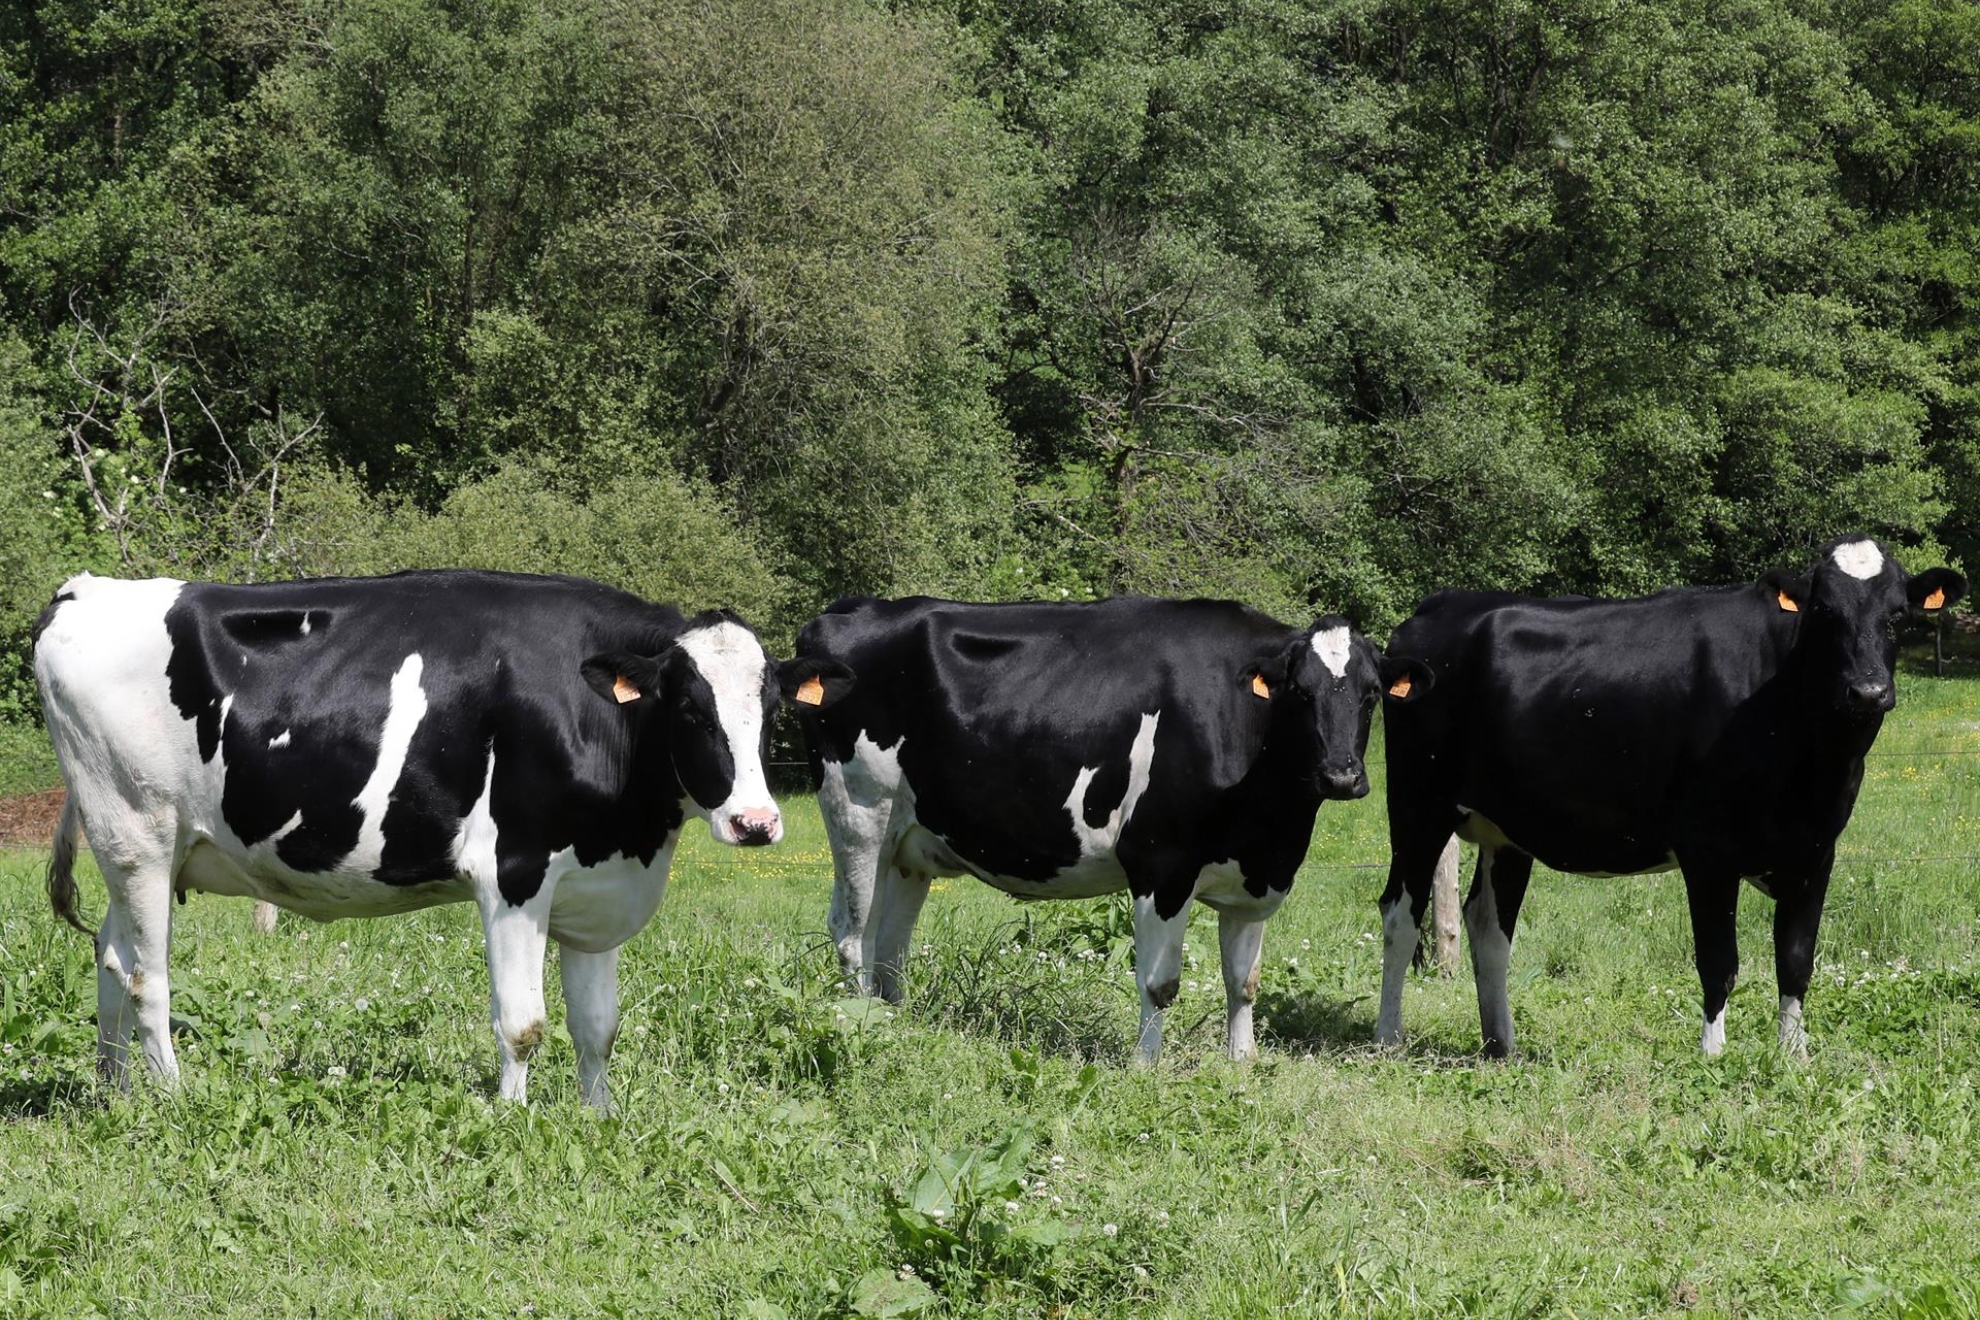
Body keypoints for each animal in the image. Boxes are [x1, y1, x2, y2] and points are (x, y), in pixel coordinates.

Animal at [32, 569, 853, 1109]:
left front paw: (599, 1118)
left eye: (773, 707)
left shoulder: (597, 885)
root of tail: (86, 588)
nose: (756, 822)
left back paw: (115, 1094)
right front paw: (513, 1120)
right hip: (138, 835)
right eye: (687, 708)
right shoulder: (513, 872)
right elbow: (524, 1024)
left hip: (132, 850)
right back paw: (173, 1098)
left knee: (112, 958)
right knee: (148, 977)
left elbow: (598, 1027)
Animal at [792, 596, 1433, 1064]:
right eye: (1301, 693)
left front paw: (1242, 1063)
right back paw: (864, 1027)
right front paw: (1146, 1068)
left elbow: (1244, 981)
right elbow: (1159, 983)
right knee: (852, 935)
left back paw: (895, 1023)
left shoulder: (1255, 877)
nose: (1341, 775)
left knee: (889, 946)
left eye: (1371, 695)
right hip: (860, 815)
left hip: (908, 844)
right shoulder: (1160, 863)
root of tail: (850, 610)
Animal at [1374, 536, 1965, 1059]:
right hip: (1417, 805)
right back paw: (1389, 1038)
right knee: (1401, 913)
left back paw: (1501, 1045)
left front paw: (1794, 1058)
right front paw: (1714, 1055)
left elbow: (1796, 962)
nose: (1868, 691)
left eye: (1898, 615)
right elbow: (1718, 961)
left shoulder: (1817, 851)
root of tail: (1439, 604)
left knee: (1489, 927)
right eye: (1824, 612)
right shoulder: (1708, 850)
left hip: (1506, 827)